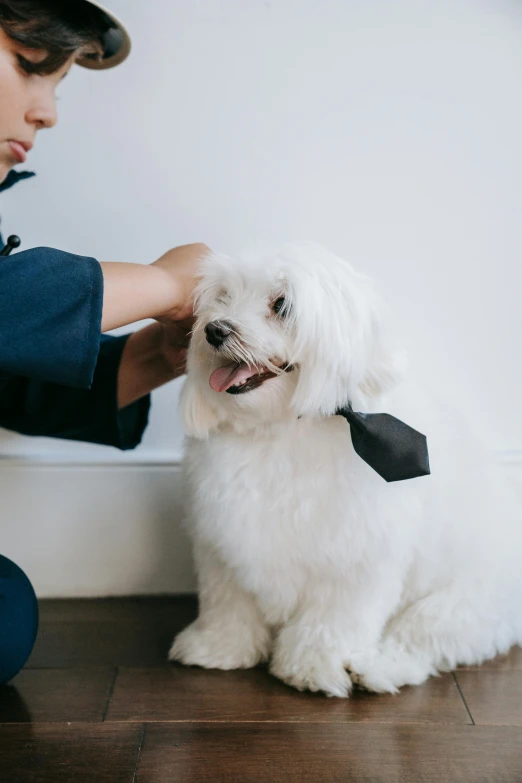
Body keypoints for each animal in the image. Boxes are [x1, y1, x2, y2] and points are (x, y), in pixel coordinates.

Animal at [169, 240, 516, 700]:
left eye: (282, 305)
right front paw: (218, 647)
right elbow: (228, 603)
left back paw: (374, 668)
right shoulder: (222, 546)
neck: (284, 430)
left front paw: (313, 666)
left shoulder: (354, 560)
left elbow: (332, 620)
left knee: (421, 636)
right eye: (223, 297)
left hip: (466, 603)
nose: (215, 330)